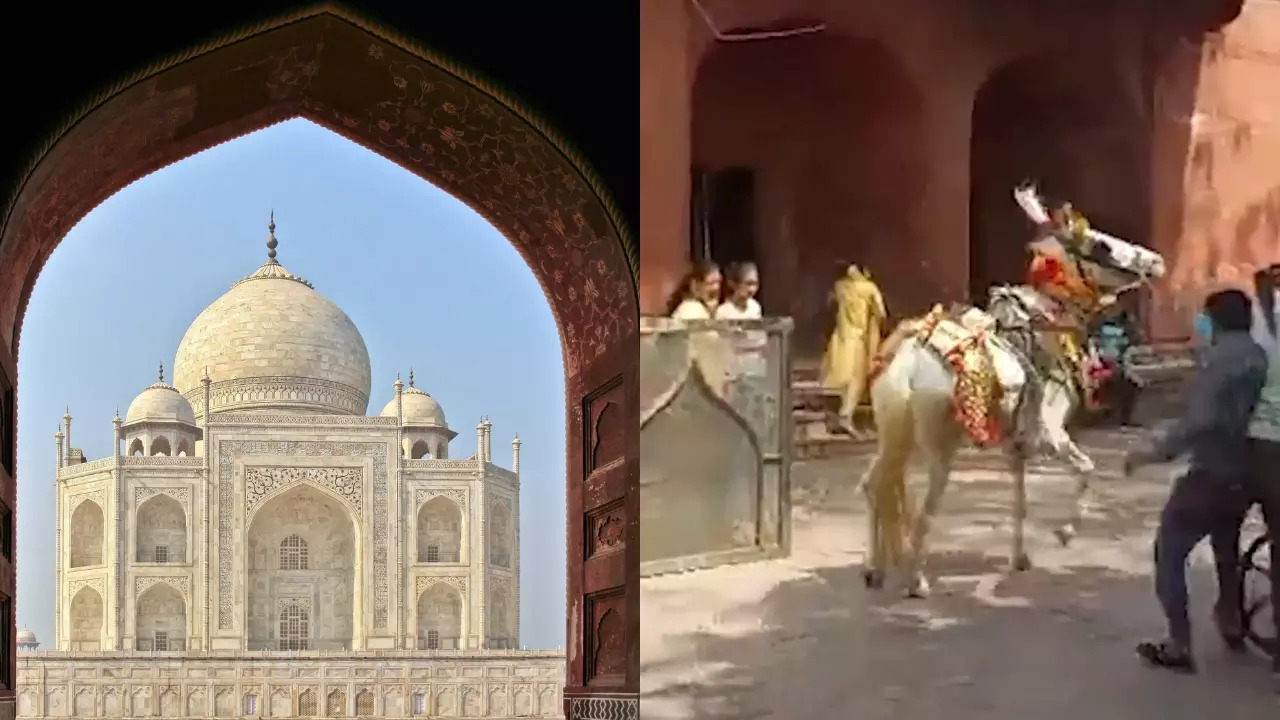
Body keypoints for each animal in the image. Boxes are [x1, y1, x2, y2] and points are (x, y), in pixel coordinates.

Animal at [860, 184, 1172, 594]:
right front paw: (1064, 533)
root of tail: (907, 364)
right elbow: (1086, 469)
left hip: (895, 429)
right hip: (939, 444)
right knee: (921, 509)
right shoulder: (1049, 434)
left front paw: (1021, 558)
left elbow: (1020, 500)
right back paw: (916, 581)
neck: (1046, 328)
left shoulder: (1017, 444)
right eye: (1101, 244)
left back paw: (875, 569)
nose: (1155, 260)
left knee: (874, 484)